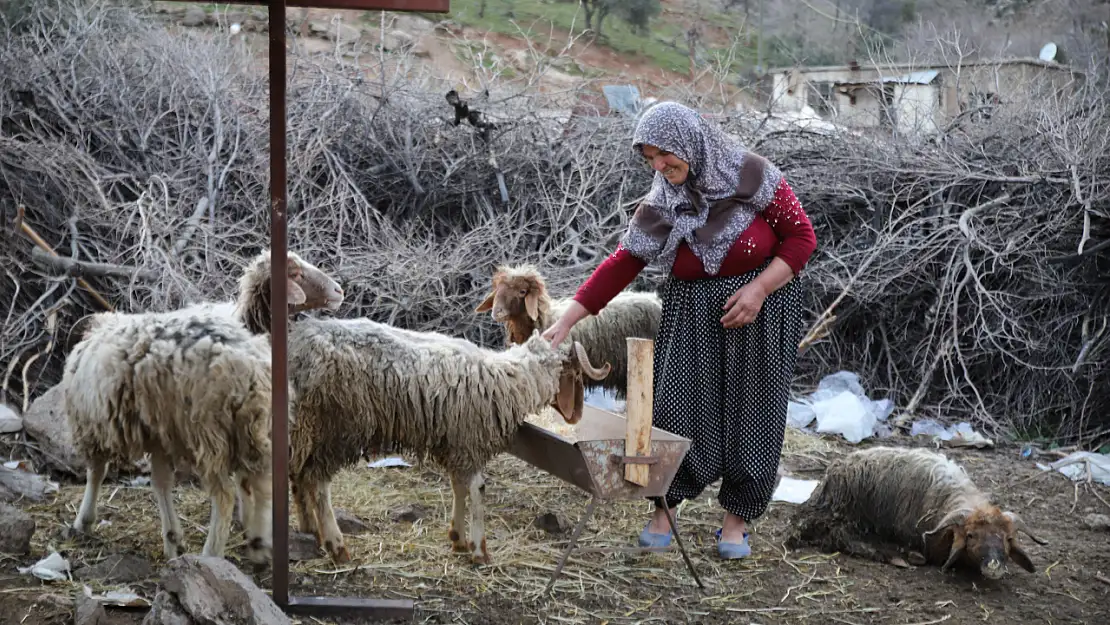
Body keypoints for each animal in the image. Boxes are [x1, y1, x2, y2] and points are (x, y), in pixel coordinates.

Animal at [63, 250, 341, 568]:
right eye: (295, 274)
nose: (339, 291)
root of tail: (252, 367)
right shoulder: (160, 433)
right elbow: (161, 483)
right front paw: (174, 539)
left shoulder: (94, 425)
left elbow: (96, 472)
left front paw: (83, 521)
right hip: (246, 428)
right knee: (261, 481)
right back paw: (258, 545)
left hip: (210, 432)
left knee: (225, 494)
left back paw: (212, 554)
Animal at [785, 448, 1043, 581]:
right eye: (970, 536)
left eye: (1008, 538)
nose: (994, 566)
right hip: (841, 516)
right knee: (835, 535)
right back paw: (901, 557)